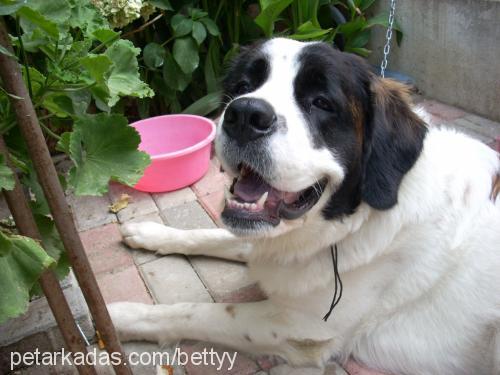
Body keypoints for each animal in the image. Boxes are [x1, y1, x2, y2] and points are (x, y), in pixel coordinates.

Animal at [109, 36, 500, 374]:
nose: (245, 114)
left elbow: (201, 312)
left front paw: (120, 316)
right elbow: (213, 235)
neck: (352, 221)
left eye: (321, 103)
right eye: (242, 86)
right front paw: (150, 232)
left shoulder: (303, 327)